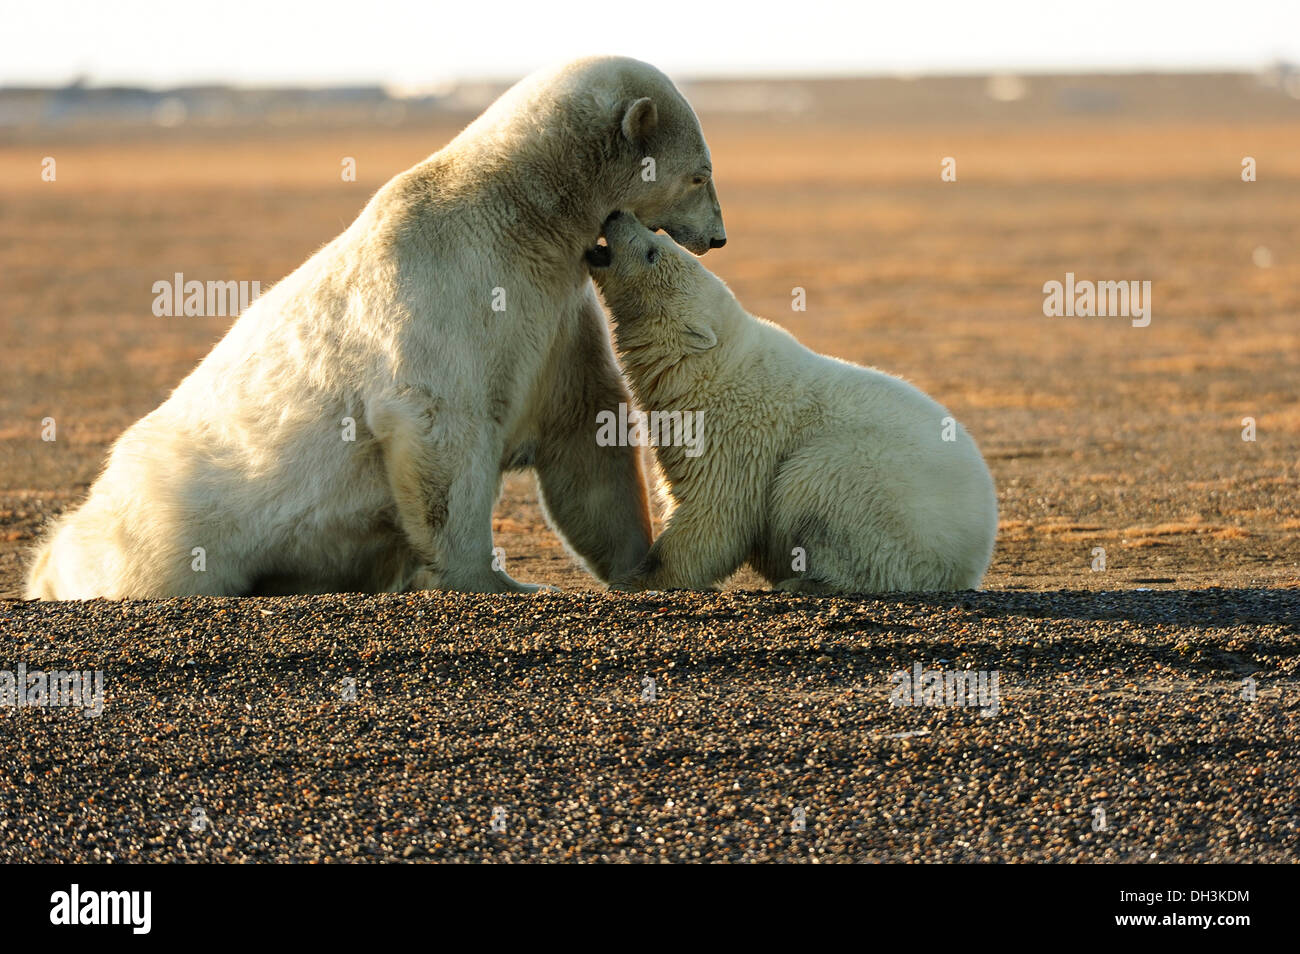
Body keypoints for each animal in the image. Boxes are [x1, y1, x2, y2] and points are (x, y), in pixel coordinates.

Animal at [27, 57, 733, 597]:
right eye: (699, 174)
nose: (720, 237)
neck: (520, 214)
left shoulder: (553, 307)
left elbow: (585, 421)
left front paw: (638, 564)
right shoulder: (445, 279)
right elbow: (440, 423)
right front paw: (498, 581)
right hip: (175, 508)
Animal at [585, 213, 998, 595]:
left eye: (653, 252)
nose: (617, 215)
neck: (712, 366)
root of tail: (968, 566)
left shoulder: (733, 432)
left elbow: (715, 511)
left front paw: (636, 578)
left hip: (878, 494)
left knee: (815, 487)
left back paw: (807, 581)